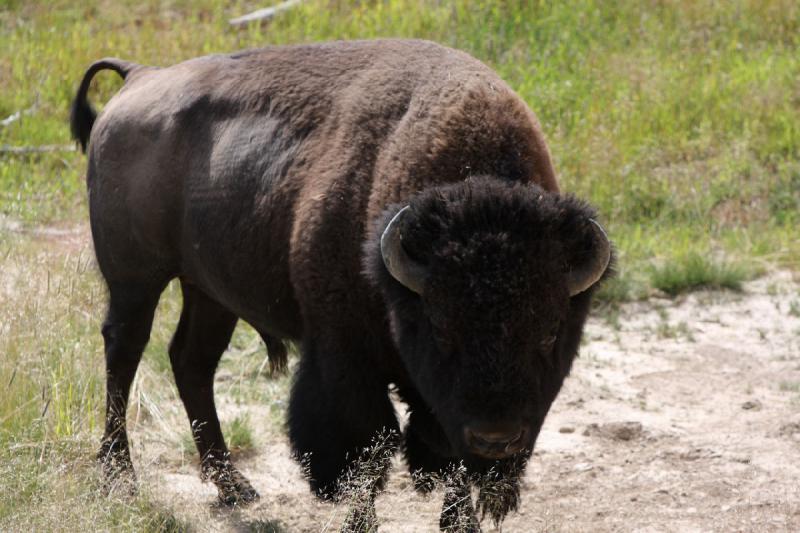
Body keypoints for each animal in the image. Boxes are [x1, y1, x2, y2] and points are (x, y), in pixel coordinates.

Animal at [72, 39, 612, 528]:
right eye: (442, 329)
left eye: (549, 333)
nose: (495, 438)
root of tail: (139, 77)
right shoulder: (346, 358)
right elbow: (368, 451)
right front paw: (360, 522)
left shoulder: (445, 406)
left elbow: (450, 463)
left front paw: (460, 524)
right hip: (136, 279)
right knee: (124, 352)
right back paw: (120, 477)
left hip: (208, 291)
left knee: (191, 361)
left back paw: (233, 486)